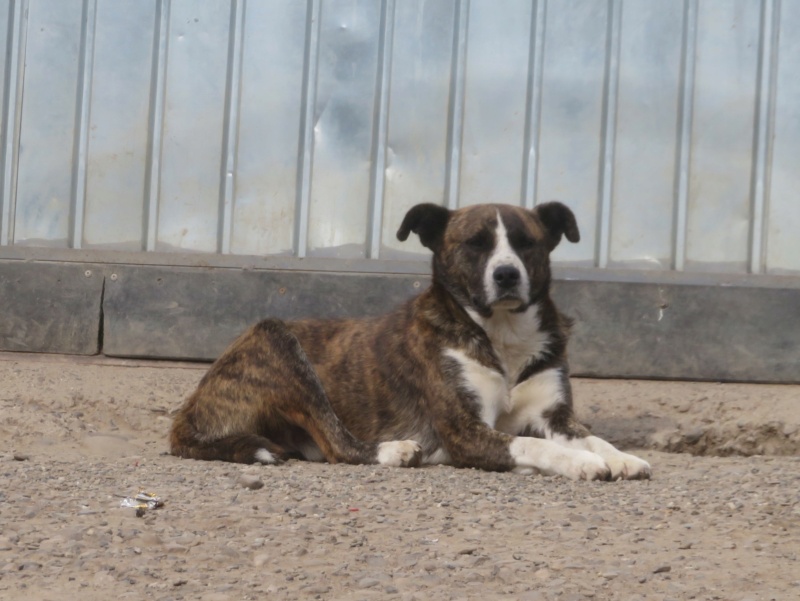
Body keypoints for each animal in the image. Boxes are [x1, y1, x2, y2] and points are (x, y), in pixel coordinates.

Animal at [169, 200, 648, 478]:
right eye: (475, 244)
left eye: (526, 243)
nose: (507, 275)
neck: (501, 334)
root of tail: (190, 410)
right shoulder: (466, 431)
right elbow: (531, 443)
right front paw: (582, 463)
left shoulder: (554, 415)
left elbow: (588, 436)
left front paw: (619, 456)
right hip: (277, 340)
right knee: (338, 445)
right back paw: (394, 451)